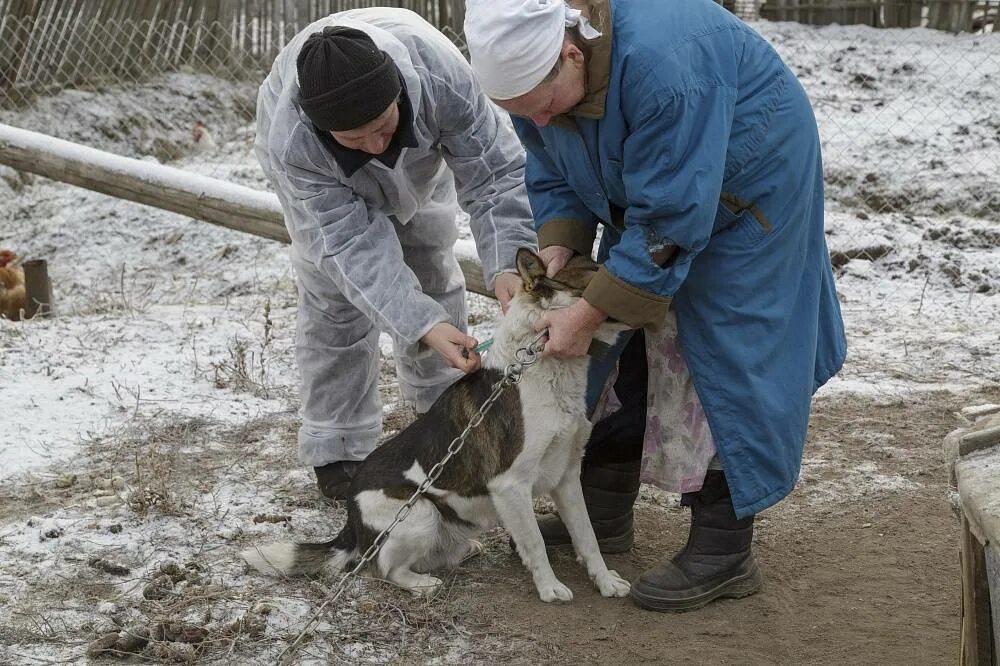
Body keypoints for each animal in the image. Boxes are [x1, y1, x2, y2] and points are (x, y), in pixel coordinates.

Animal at [242, 246, 628, 600]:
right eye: (593, 278)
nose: (629, 290)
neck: (538, 367)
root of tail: (351, 520)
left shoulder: (567, 477)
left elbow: (588, 537)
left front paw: (605, 581)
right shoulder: (511, 485)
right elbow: (535, 544)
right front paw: (549, 588)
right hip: (420, 513)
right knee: (383, 568)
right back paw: (422, 584)